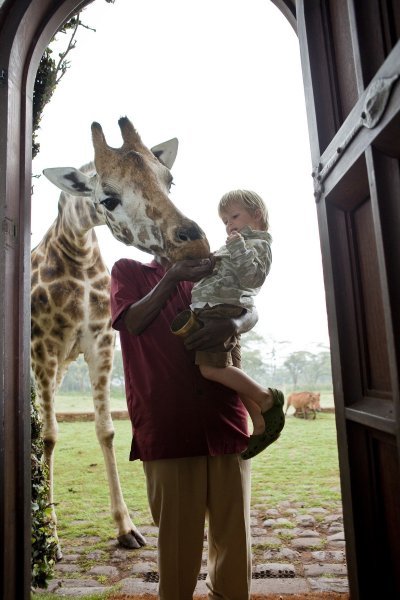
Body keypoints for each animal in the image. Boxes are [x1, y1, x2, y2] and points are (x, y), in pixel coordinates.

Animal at [31, 117, 209, 556]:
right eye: (108, 199)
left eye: (169, 179)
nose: (194, 243)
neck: (75, 251)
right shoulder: (43, 347)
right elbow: (51, 435)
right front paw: (50, 535)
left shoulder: (98, 342)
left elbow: (106, 430)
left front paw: (126, 527)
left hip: (60, 368)